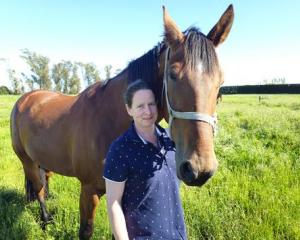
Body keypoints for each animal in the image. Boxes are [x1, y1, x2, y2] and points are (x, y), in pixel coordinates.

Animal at [10, 4, 233, 239]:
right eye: (173, 75)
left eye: (221, 81)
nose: (199, 169)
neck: (109, 121)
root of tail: (26, 98)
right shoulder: (89, 190)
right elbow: (86, 230)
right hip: (26, 160)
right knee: (38, 187)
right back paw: (46, 220)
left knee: (46, 178)